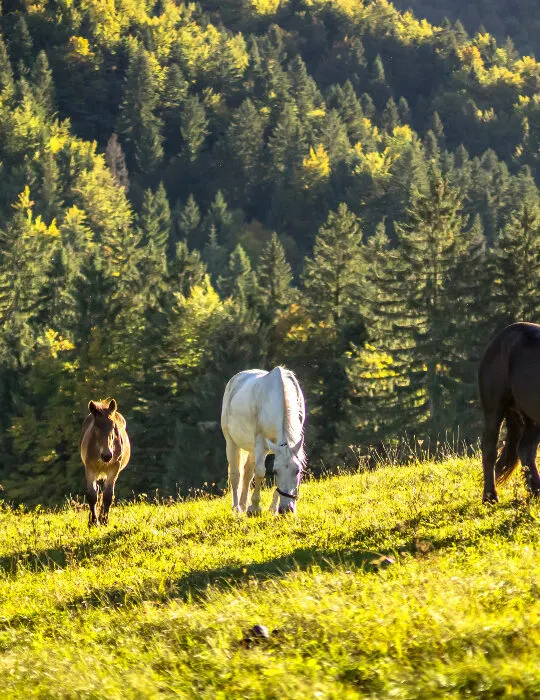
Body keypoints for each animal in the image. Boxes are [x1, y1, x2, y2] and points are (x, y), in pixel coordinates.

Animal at [221, 367, 306, 515]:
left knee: (247, 473)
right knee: (235, 474)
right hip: (231, 442)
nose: (286, 509)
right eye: (276, 472)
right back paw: (237, 508)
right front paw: (255, 507)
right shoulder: (261, 443)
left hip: (252, 448)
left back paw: (243, 505)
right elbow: (260, 472)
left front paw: (273, 508)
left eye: (297, 471)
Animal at [478, 322, 540, 502]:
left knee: (526, 450)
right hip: (494, 407)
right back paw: (490, 497)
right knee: (489, 448)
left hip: (529, 415)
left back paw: (536, 490)